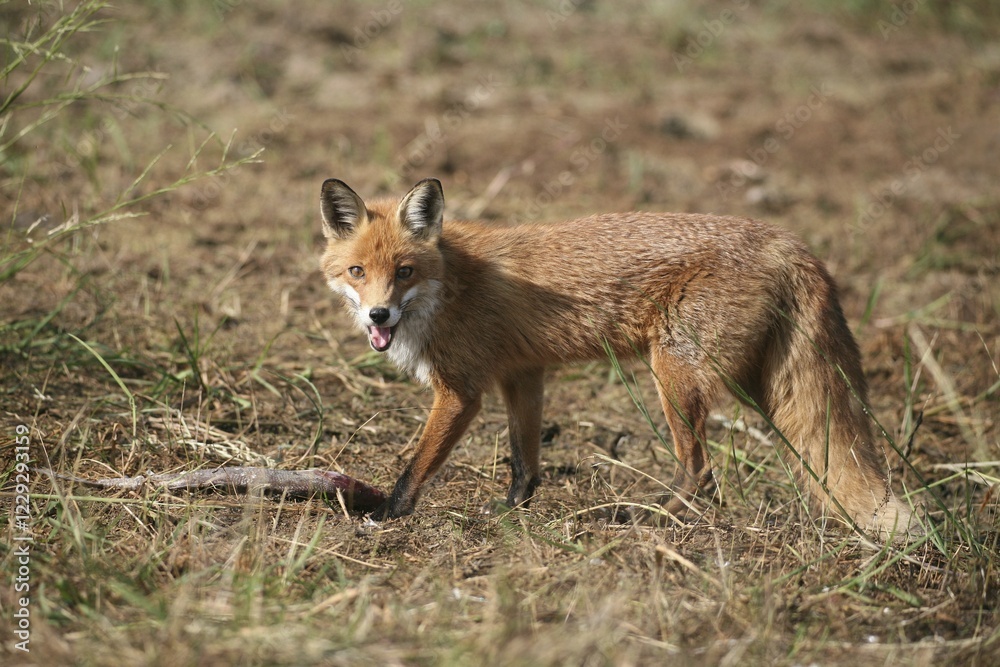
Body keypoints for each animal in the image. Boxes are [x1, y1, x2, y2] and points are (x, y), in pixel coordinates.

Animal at [319, 177, 918, 541]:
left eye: (404, 272)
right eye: (357, 272)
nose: (378, 316)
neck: (451, 285)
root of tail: (786, 239)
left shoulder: (462, 391)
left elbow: (416, 465)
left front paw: (386, 515)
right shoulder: (522, 374)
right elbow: (524, 460)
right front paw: (513, 510)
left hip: (676, 376)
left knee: (700, 471)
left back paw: (644, 519)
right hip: (753, 384)